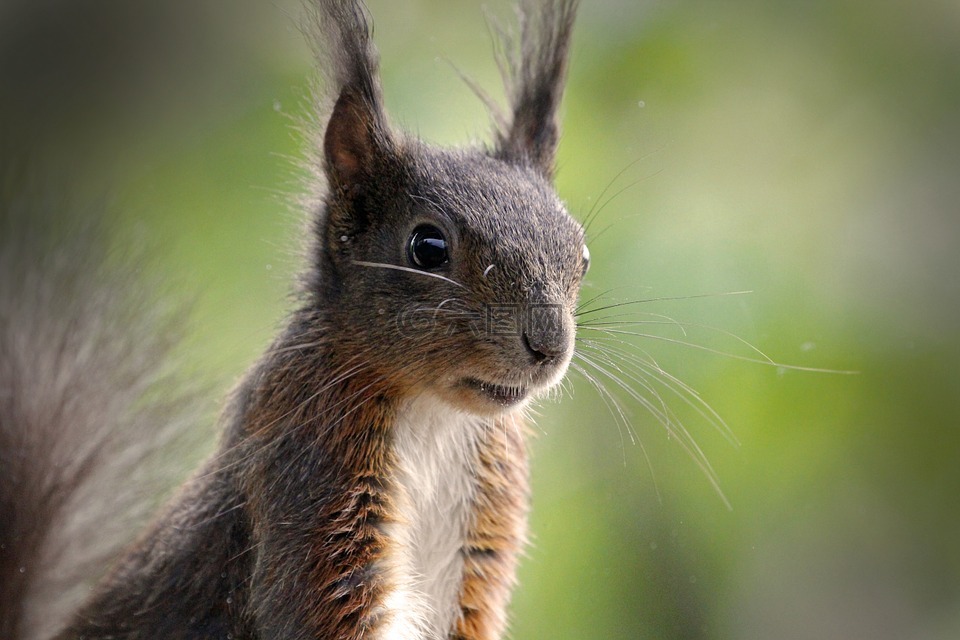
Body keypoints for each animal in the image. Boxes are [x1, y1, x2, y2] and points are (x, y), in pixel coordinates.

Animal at [0, 1, 584, 640]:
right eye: (427, 247)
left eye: (580, 254)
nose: (548, 345)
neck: (435, 417)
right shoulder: (304, 472)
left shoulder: (481, 538)